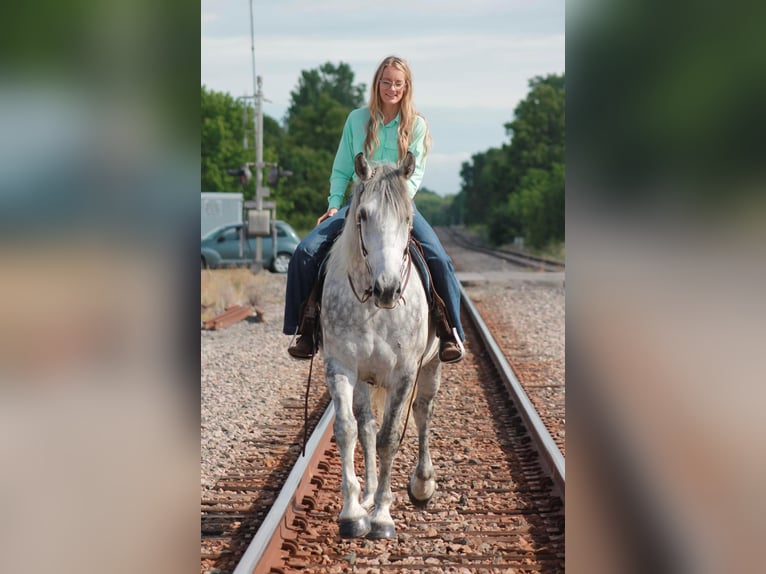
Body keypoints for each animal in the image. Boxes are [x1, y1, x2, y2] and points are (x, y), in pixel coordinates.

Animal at [320, 152, 444, 540]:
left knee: (422, 412)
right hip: (364, 378)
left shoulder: (404, 373)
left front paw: (382, 517)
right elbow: (347, 430)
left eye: (408, 218)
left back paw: (422, 484)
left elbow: (390, 437)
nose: (388, 288)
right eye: (362, 215)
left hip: (432, 366)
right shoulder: (341, 366)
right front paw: (352, 512)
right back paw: (369, 495)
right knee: (366, 426)